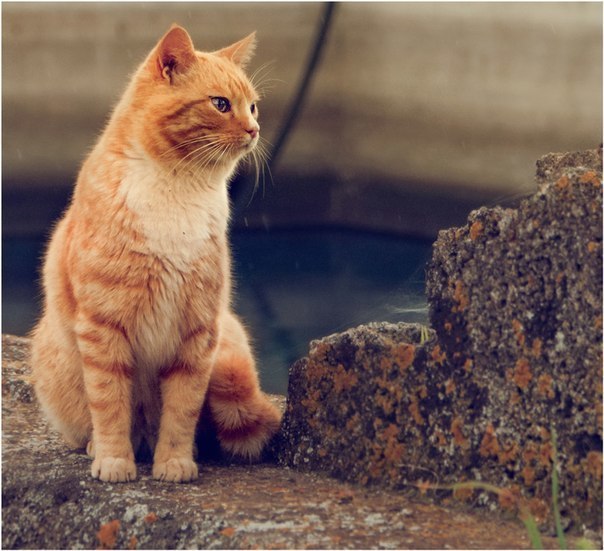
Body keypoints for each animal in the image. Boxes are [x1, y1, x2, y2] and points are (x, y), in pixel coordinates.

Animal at [30, 25, 280, 484]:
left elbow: (182, 411)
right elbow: (110, 405)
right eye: (221, 104)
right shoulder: (103, 328)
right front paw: (114, 460)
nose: (255, 129)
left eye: (253, 106)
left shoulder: (198, 333)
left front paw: (175, 463)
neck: (180, 191)